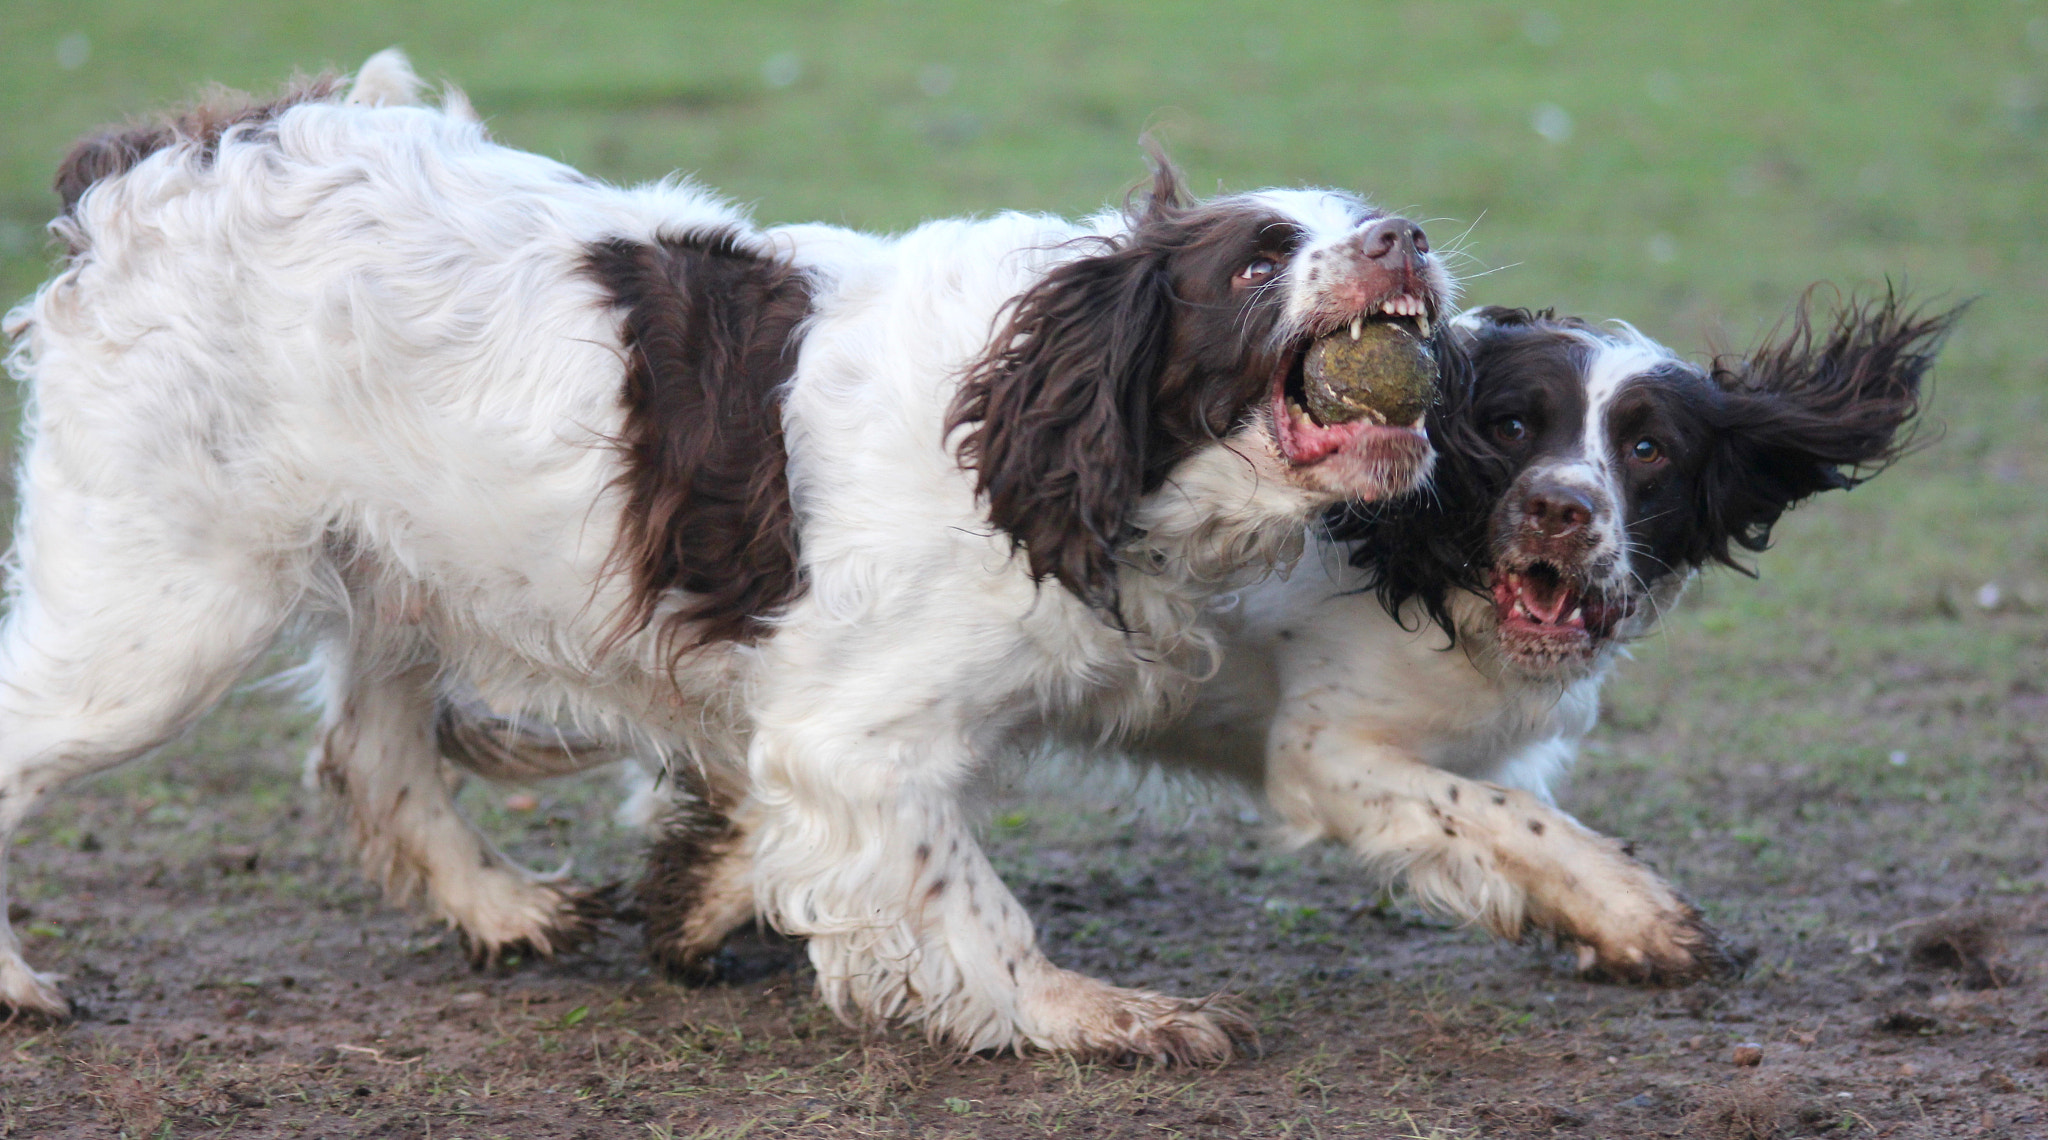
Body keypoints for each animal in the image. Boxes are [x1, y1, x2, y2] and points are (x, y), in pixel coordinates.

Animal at [618, 290, 1949, 986]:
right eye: (1512, 426)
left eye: (1648, 447)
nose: (1559, 512)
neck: (1430, 561)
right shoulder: (1326, 753)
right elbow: (1505, 819)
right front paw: (1638, 911)